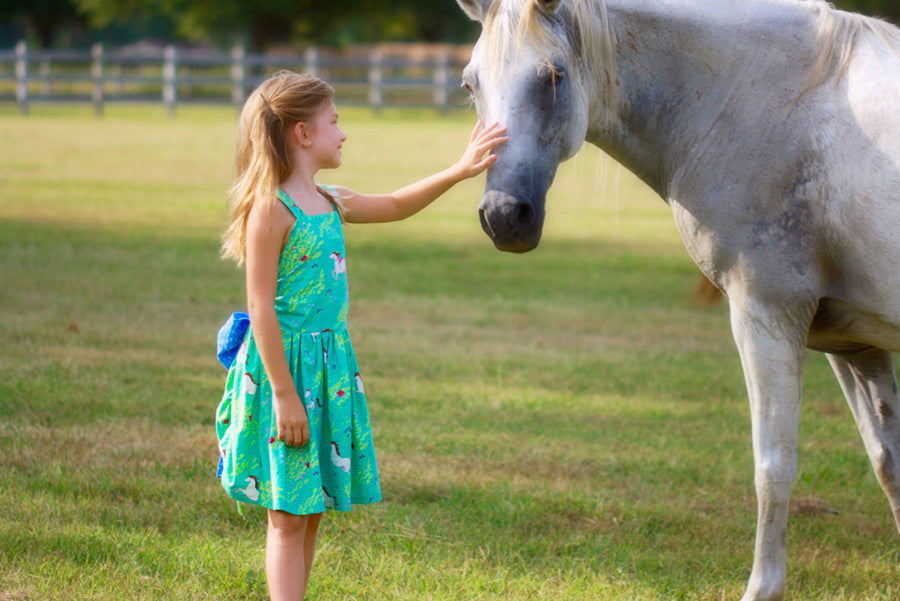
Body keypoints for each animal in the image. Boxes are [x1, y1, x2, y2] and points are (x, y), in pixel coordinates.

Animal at [458, 1, 900, 600]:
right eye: (471, 84)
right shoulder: (853, 344)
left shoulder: (767, 317)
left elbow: (774, 467)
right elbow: (888, 462)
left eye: (553, 77)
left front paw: (763, 586)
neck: (770, 101)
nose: (504, 216)